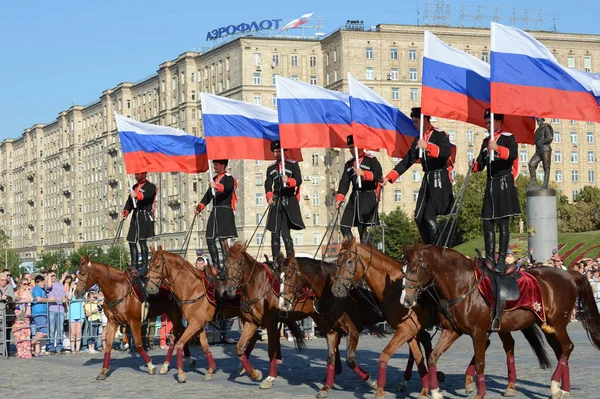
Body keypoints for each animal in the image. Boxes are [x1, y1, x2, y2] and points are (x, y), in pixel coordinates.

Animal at [280, 255, 384, 398]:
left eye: (289, 276)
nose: (283, 304)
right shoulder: (331, 331)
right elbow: (330, 357)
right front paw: (326, 387)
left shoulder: (352, 332)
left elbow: (350, 360)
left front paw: (372, 382)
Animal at [330, 241, 552, 399]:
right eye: (336, 263)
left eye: (349, 262)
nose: (337, 289)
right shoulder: (412, 331)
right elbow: (419, 356)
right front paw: (426, 386)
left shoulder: (409, 329)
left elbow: (393, 354)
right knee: (502, 344)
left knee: (503, 345)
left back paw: (500, 384)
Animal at [398, 245, 600, 398]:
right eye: (402, 270)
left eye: (414, 269)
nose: (405, 300)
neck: (463, 286)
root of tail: (569, 275)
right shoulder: (452, 331)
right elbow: (433, 356)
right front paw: (435, 392)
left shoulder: (478, 332)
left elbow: (480, 363)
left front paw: (479, 393)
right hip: (547, 326)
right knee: (561, 352)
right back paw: (560, 388)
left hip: (558, 324)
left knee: (567, 348)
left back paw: (557, 387)